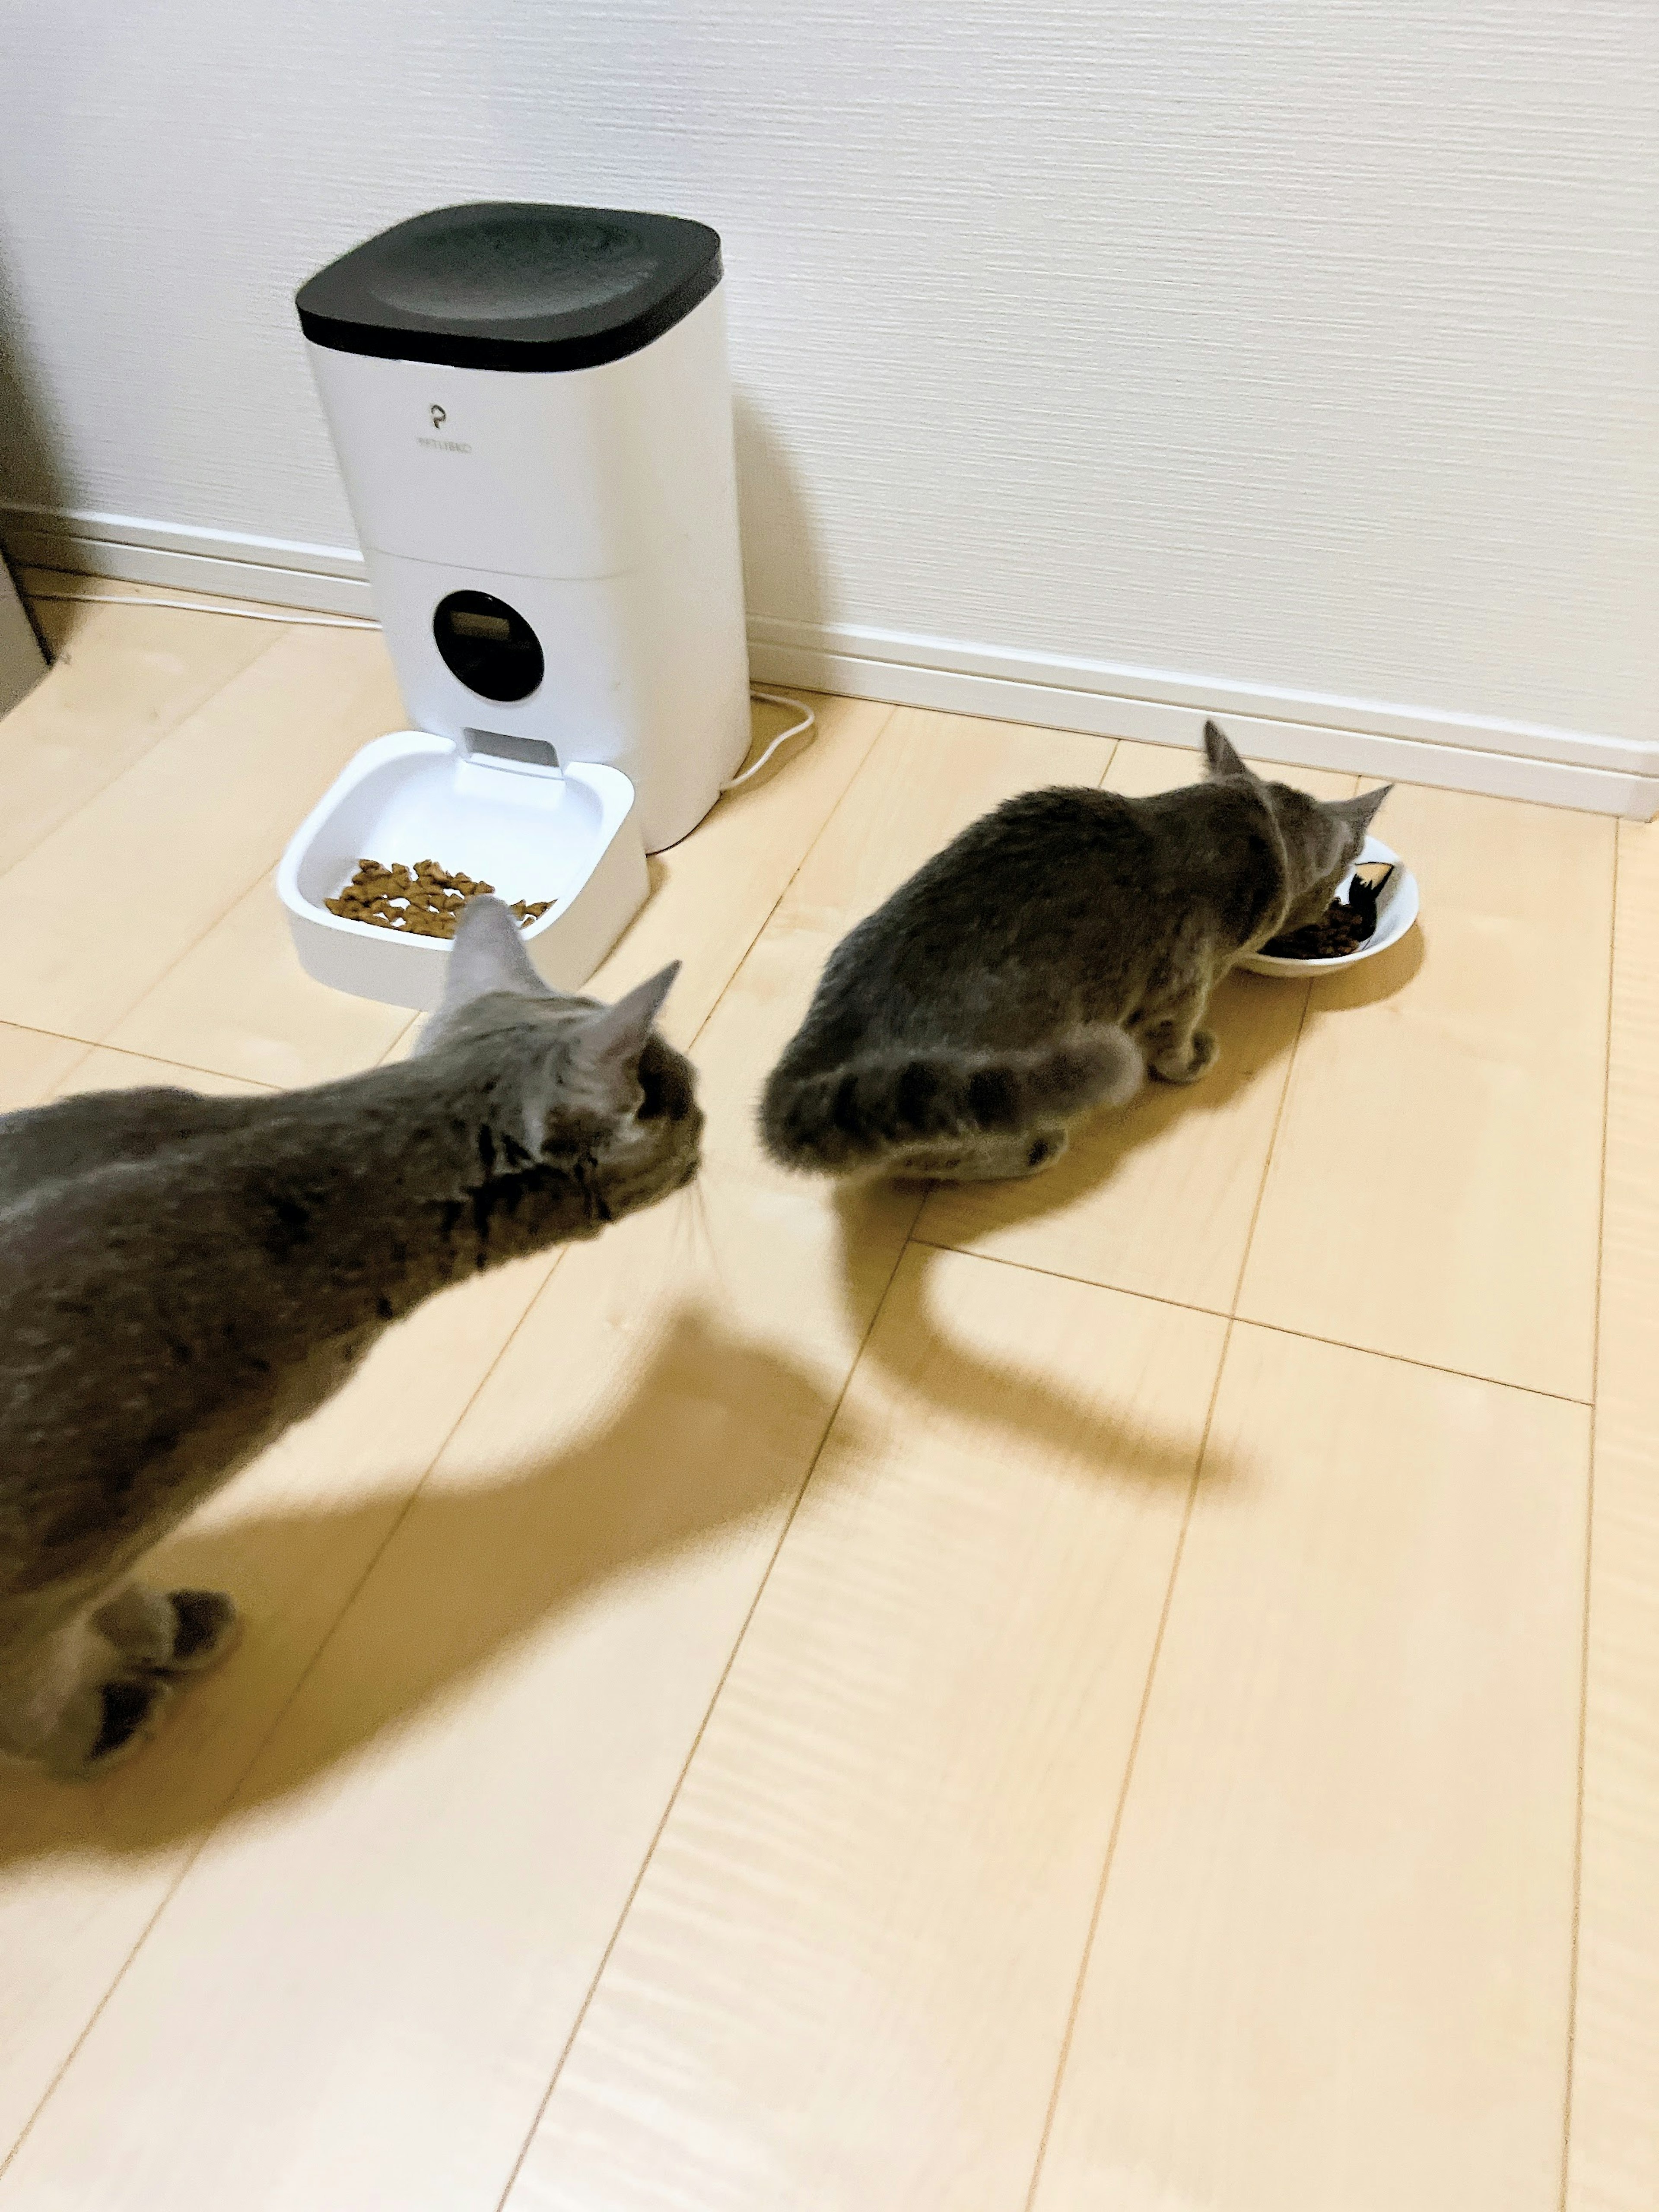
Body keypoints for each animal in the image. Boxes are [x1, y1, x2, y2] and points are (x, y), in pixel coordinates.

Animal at [0, 898, 703, 1778]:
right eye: (691, 1099)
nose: (711, 1124)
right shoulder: (45, 1579)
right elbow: (33, 1694)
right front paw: (98, 1726)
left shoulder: (111, 1549)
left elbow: (113, 1596)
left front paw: (168, 1629)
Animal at [765, 716, 1389, 1185]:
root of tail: (802, 1075)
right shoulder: (1182, 985)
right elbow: (1174, 1042)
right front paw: (1196, 1059)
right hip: (991, 1098)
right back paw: (1036, 1149)